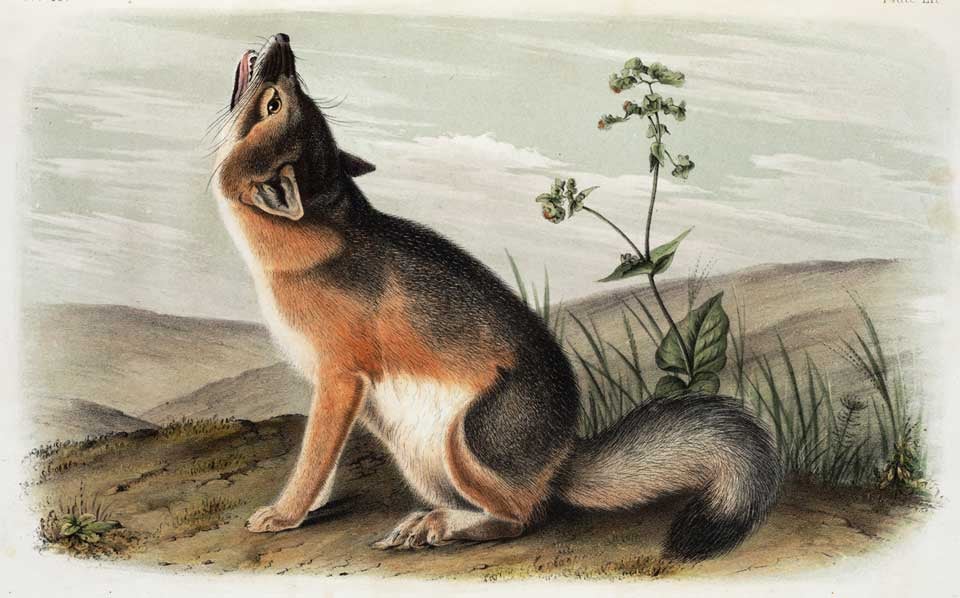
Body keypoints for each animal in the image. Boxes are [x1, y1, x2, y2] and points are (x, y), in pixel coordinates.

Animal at [212, 33, 783, 561]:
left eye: (281, 100)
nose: (283, 39)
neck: (319, 231)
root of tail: (561, 459)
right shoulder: (339, 390)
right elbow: (323, 466)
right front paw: (305, 510)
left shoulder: (339, 379)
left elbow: (312, 460)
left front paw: (283, 514)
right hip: (419, 452)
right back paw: (427, 520)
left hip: (465, 442)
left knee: (523, 517)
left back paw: (440, 527)